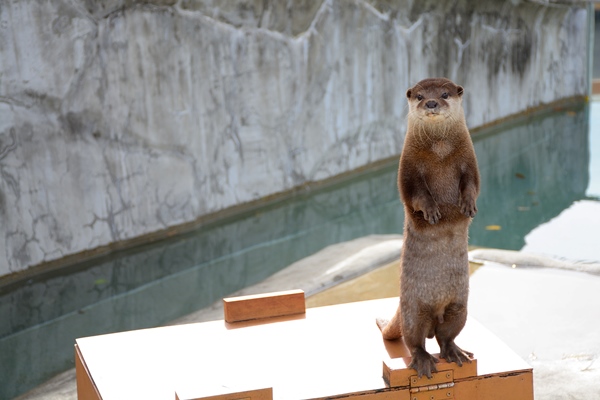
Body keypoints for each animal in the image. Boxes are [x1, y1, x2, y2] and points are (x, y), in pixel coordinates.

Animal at [378, 77, 480, 378]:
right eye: (420, 96)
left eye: (445, 94)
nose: (432, 103)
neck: (440, 152)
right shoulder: (409, 167)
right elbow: (416, 194)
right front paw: (433, 210)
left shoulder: (469, 160)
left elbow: (472, 184)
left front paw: (467, 205)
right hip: (414, 310)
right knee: (415, 340)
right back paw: (423, 360)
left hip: (459, 307)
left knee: (446, 336)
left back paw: (456, 352)